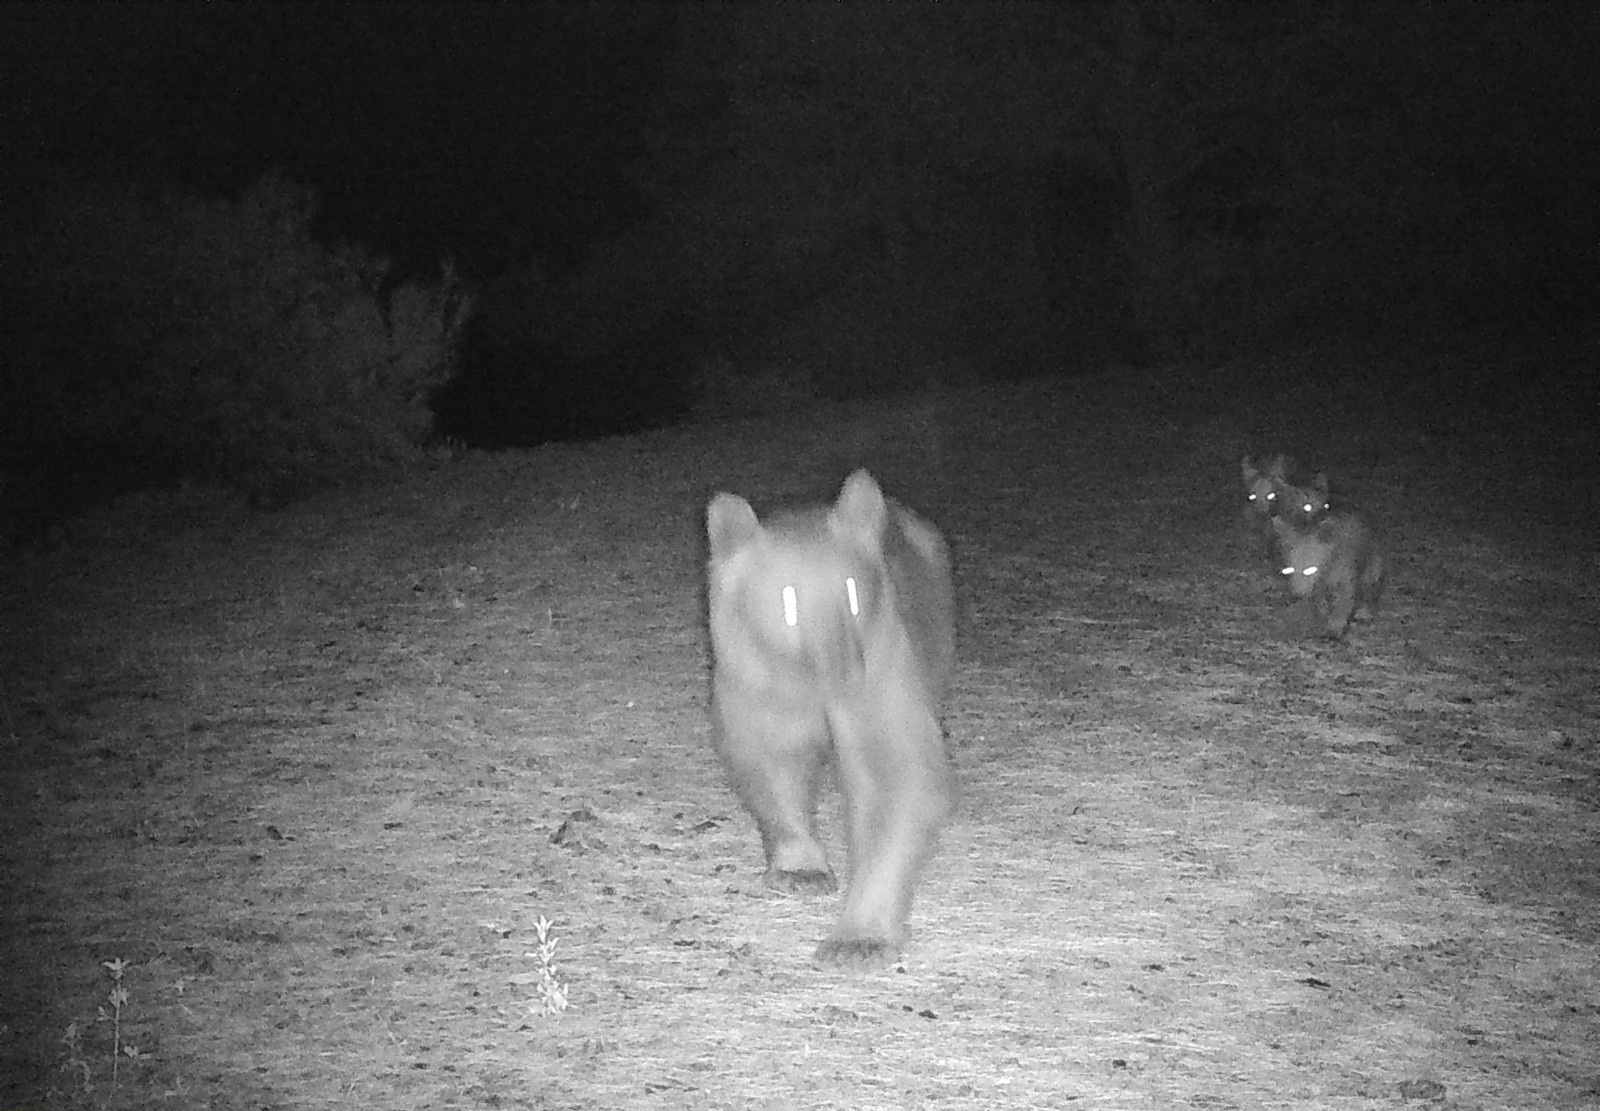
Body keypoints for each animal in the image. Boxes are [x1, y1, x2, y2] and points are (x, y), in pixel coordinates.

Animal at [707, 473, 953, 973]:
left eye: (853, 592)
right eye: (787, 599)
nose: (838, 668)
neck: (812, 689)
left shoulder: (881, 670)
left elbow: (893, 776)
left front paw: (857, 942)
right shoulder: (754, 678)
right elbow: (770, 757)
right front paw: (801, 871)